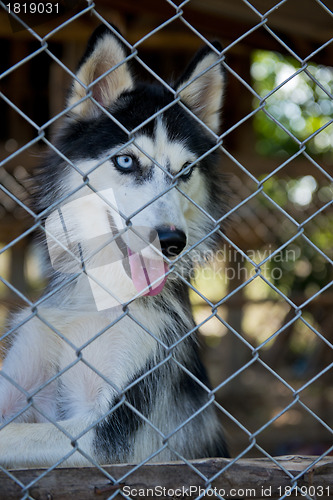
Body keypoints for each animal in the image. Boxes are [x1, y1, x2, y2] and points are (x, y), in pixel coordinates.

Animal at [0, 25, 228, 466]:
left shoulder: (109, 436)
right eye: (126, 161)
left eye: (185, 171)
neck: (96, 299)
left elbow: (14, 434)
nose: (172, 241)